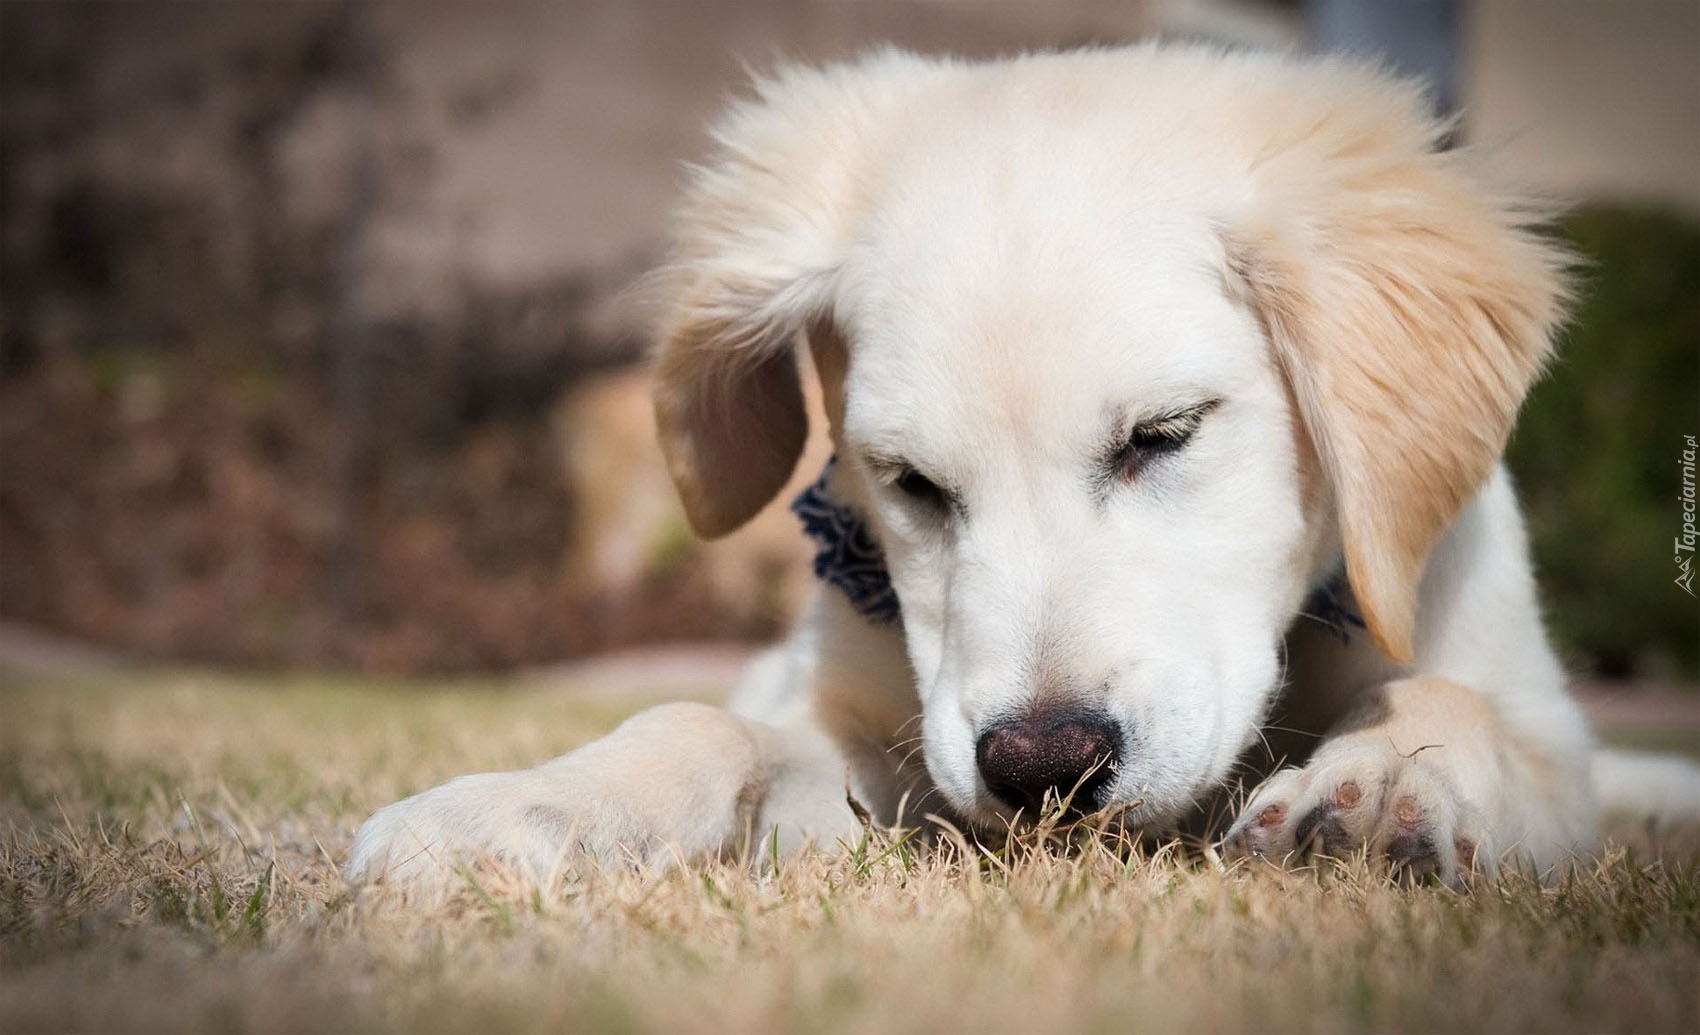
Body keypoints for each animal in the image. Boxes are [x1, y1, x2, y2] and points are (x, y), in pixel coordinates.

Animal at [345, 44, 1686, 883]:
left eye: (1163, 434)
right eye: (908, 482)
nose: (1042, 770)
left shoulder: (1535, 725)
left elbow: (1454, 705)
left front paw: (1376, 791)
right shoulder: (876, 739)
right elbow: (699, 722)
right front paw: (530, 806)